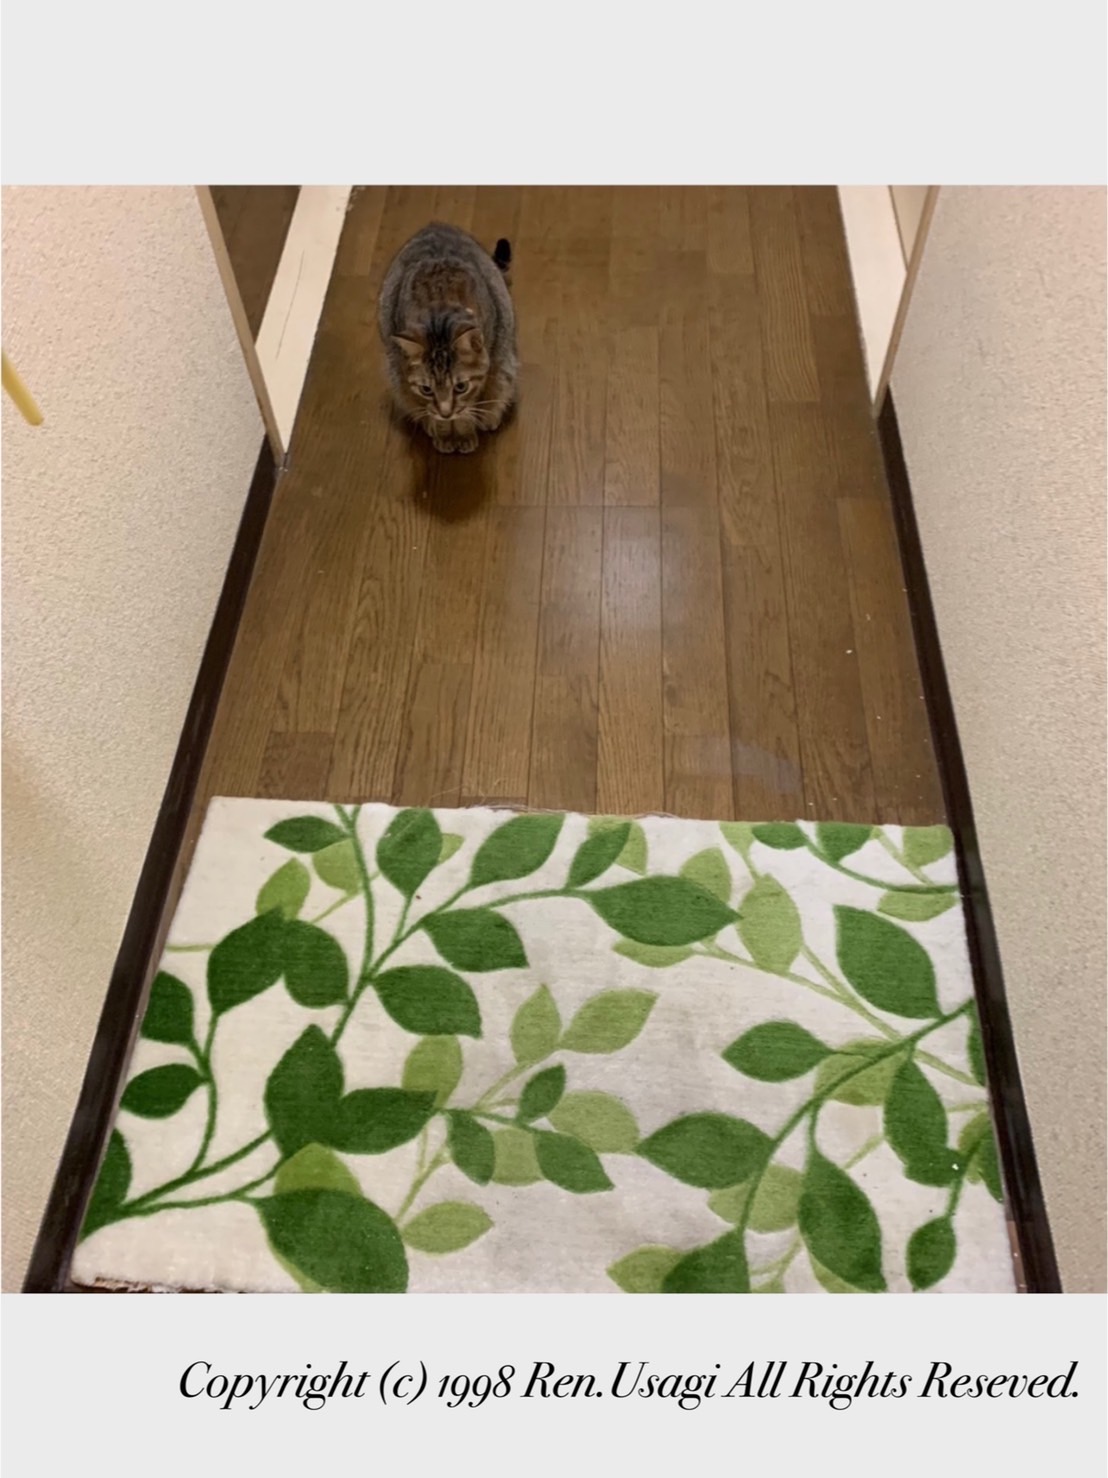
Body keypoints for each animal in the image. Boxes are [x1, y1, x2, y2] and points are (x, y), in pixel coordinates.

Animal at [377, 222, 517, 454]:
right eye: (426, 390)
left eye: (461, 387)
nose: (445, 413)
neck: (439, 306)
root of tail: (436, 225)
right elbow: (434, 412)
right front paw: (445, 432)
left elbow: (466, 409)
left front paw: (463, 433)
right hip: (395, 372)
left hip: (504, 361)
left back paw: (489, 417)